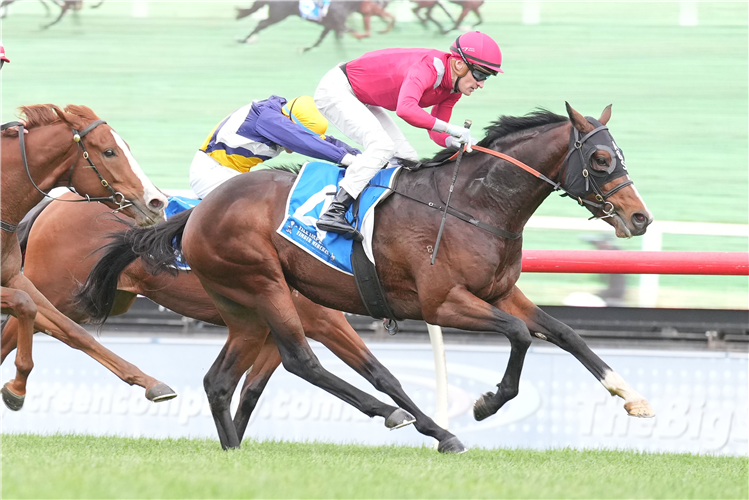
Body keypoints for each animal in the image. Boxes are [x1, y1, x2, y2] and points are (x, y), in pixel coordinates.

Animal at [0, 104, 174, 410]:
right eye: (109, 151)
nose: (157, 202)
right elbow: (25, 305)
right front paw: (17, 386)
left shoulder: (15, 279)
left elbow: (71, 330)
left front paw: (151, 383)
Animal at [0, 193, 414, 440]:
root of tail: (52, 203)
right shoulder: (321, 320)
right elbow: (380, 373)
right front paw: (417, 422)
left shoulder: (273, 330)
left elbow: (251, 391)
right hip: (57, 290)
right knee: (31, 320)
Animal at [79, 104, 656, 454]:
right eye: (601, 158)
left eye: (620, 155)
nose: (640, 218)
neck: (476, 204)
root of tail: (197, 213)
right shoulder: (443, 303)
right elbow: (519, 336)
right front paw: (486, 403)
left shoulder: (499, 291)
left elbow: (564, 332)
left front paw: (631, 395)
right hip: (266, 286)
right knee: (302, 361)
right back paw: (412, 421)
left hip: (243, 309)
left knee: (221, 380)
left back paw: (234, 449)